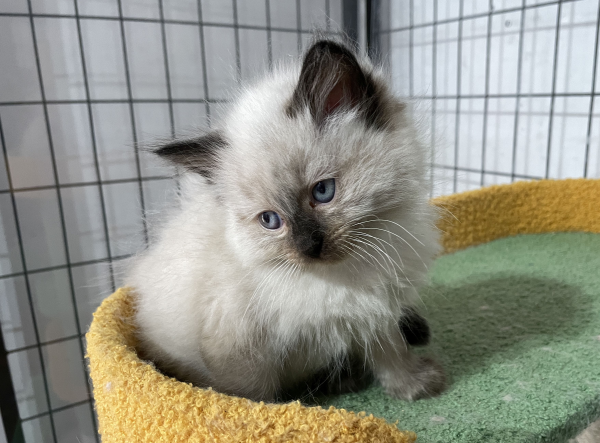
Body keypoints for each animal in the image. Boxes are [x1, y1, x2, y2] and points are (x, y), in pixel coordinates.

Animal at [127, 40, 446, 404]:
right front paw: (280, 414)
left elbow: (392, 351)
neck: (341, 279)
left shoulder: (376, 310)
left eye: (323, 191)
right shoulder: (239, 349)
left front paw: (415, 385)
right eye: (270, 220)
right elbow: (254, 398)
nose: (309, 247)